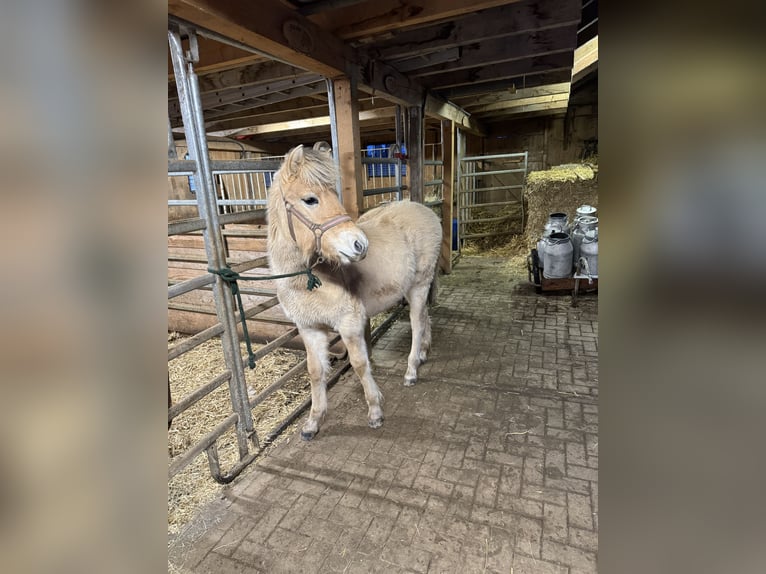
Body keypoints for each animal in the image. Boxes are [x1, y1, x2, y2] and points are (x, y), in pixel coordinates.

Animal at [267, 142, 442, 440]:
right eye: (310, 199)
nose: (359, 244)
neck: (312, 280)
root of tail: (427, 211)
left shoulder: (349, 324)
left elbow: (360, 364)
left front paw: (375, 411)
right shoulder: (309, 329)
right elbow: (315, 371)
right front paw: (313, 422)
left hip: (419, 285)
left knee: (417, 324)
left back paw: (411, 371)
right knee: (425, 318)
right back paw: (422, 354)